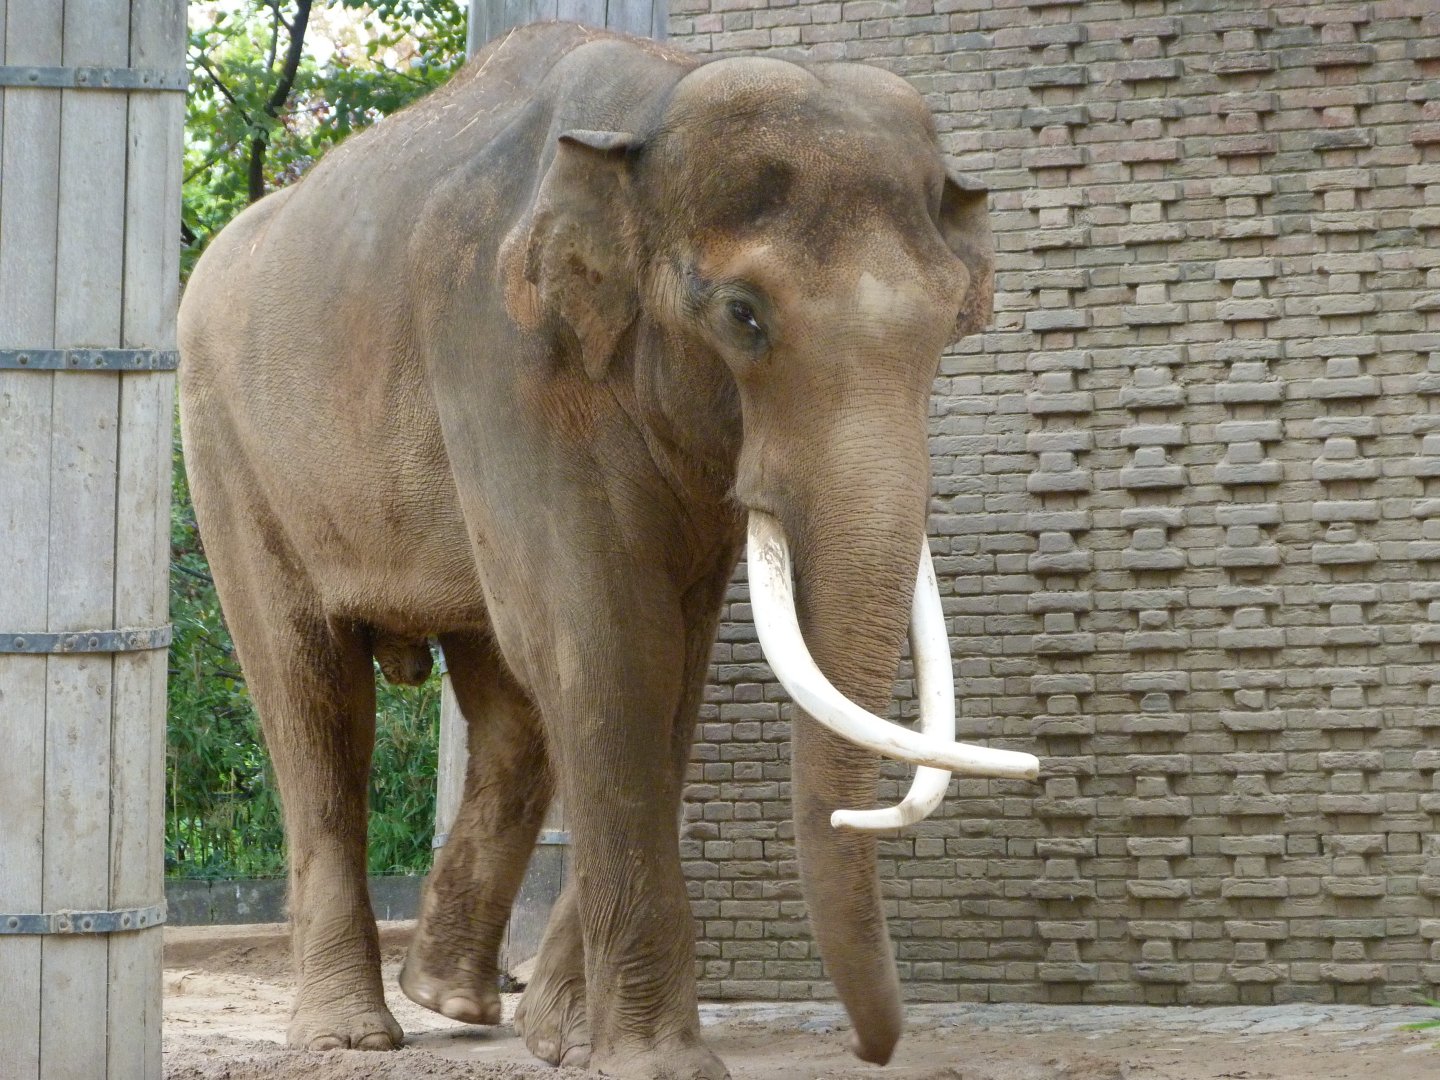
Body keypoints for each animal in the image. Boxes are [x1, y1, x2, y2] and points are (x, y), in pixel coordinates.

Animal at [177, 20, 1036, 1080]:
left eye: (950, 324)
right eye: (743, 315)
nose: (877, 1049)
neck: (651, 106)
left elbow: (672, 663)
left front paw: (568, 1036)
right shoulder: (501, 356)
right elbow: (610, 642)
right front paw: (656, 1060)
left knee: (507, 709)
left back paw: (451, 997)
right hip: (224, 448)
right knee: (312, 697)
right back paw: (352, 1035)